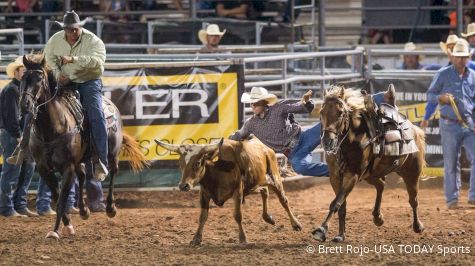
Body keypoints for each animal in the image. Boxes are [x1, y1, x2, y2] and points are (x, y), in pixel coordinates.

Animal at [20, 55, 149, 240]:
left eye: (39, 78)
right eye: (23, 78)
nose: (25, 104)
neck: (51, 129)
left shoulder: (67, 167)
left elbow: (61, 201)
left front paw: (55, 230)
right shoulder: (44, 168)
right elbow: (57, 196)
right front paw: (67, 225)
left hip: (112, 153)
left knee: (113, 171)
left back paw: (110, 207)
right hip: (80, 160)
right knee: (82, 176)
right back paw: (83, 210)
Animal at [312, 87, 428, 243]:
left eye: (341, 113)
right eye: (321, 112)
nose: (327, 141)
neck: (351, 141)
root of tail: (415, 130)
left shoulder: (353, 175)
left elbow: (335, 203)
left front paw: (321, 230)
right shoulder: (335, 176)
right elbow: (341, 205)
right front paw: (340, 234)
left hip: (412, 172)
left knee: (413, 200)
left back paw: (417, 226)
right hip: (371, 174)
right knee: (381, 185)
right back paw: (377, 217)